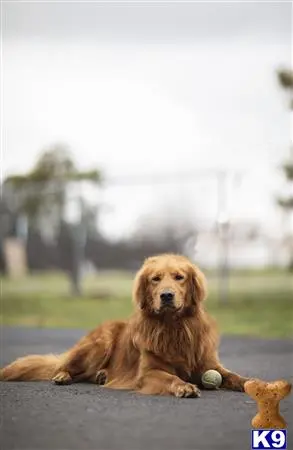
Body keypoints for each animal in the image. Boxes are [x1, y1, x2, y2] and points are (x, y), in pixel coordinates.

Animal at [0, 253, 249, 398]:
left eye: (179, 277)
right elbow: (170, 377)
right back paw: (63, 376)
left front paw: (251, 383)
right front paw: (184, 386)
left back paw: (101, 375)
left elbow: (232, 375)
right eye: (155, 279)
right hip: (100, 342)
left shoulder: (209, 364)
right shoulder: (147, 373)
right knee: (65, 367)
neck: (173, 328)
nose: (166, 295)